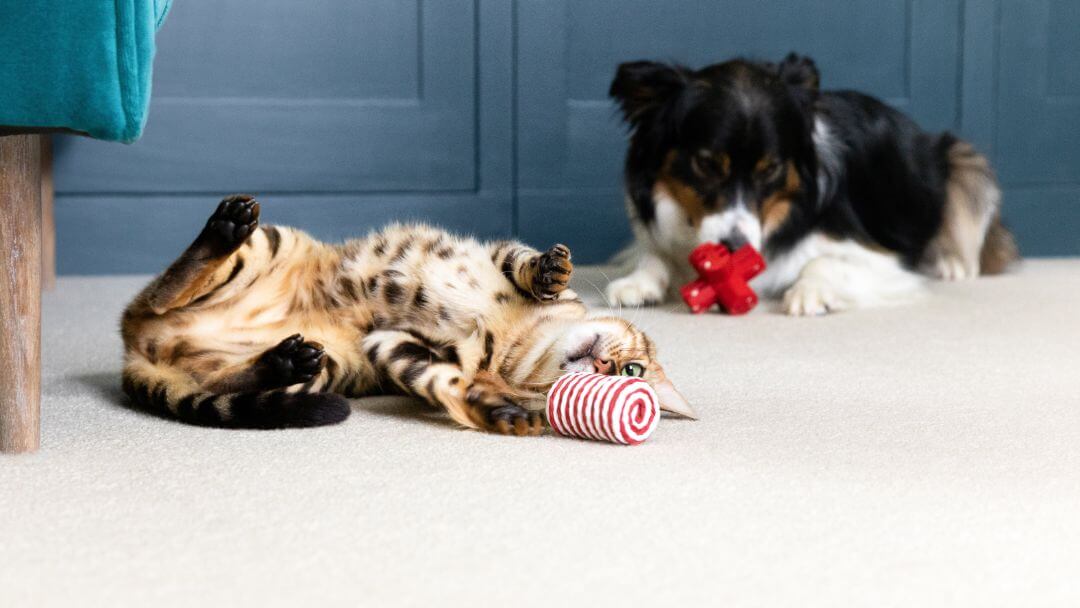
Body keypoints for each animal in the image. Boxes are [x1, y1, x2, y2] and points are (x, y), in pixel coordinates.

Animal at [118, 195, 691, 431]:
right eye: (632, 368)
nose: (605, 368)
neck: (522, 338)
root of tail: (137, 348)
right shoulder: (494, 252)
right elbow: (524, 262)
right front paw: (551, 271)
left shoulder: (392, 345)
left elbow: (447, 382)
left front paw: (496, 411)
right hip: (271, 244)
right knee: (165, 290)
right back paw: (225, 226)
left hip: (329, 367)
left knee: (227, 376)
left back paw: (281, 361)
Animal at [604, 53, 1015, 317]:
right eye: (705, 164)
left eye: (770, 169)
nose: (736, 249)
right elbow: (652, 254)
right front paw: (637, 281)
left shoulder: (881, 257)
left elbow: (823, 262)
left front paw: (810, 291)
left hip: (964, 163)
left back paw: (951, 263)